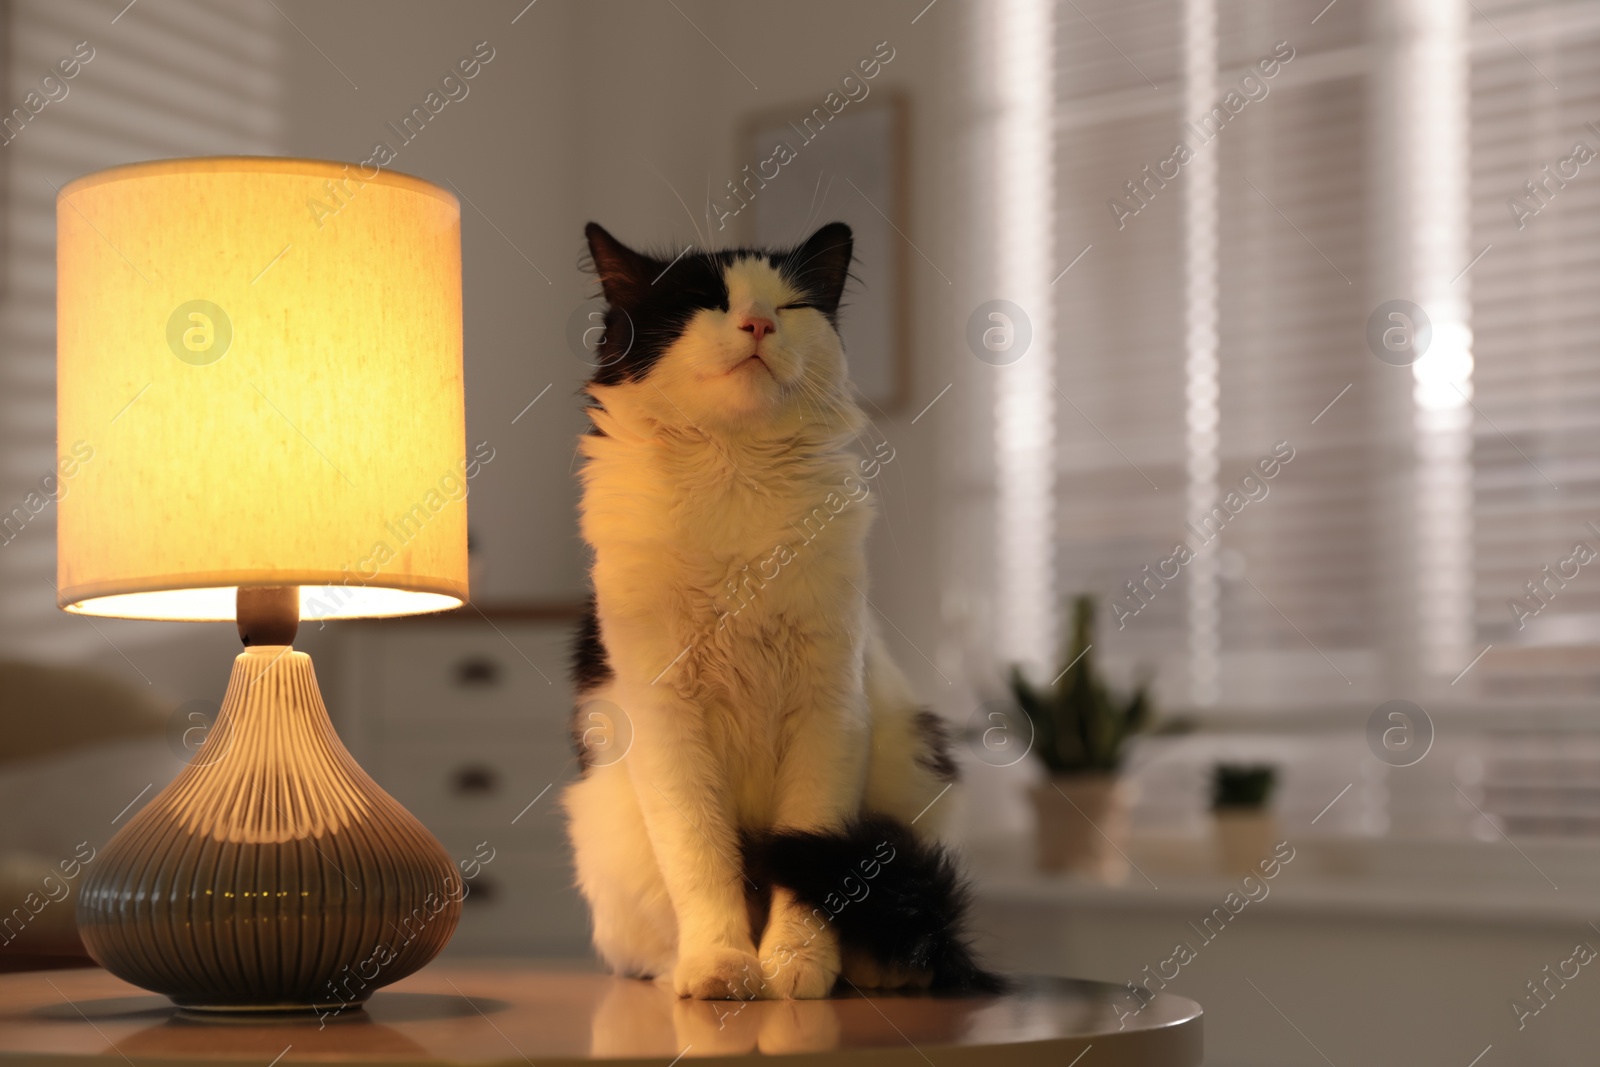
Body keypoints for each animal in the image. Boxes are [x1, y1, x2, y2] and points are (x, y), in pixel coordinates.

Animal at [556, 219, 992, 1004]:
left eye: (788, 306)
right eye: (704, 301)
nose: (757, 324)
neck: (735, 476)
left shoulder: (829, 709)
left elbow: (811, 873)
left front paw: (794, 965)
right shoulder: (666, 720)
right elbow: (706, 864)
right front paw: (723, 966)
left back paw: (877, 969)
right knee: (643, 945)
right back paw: (679, 968)